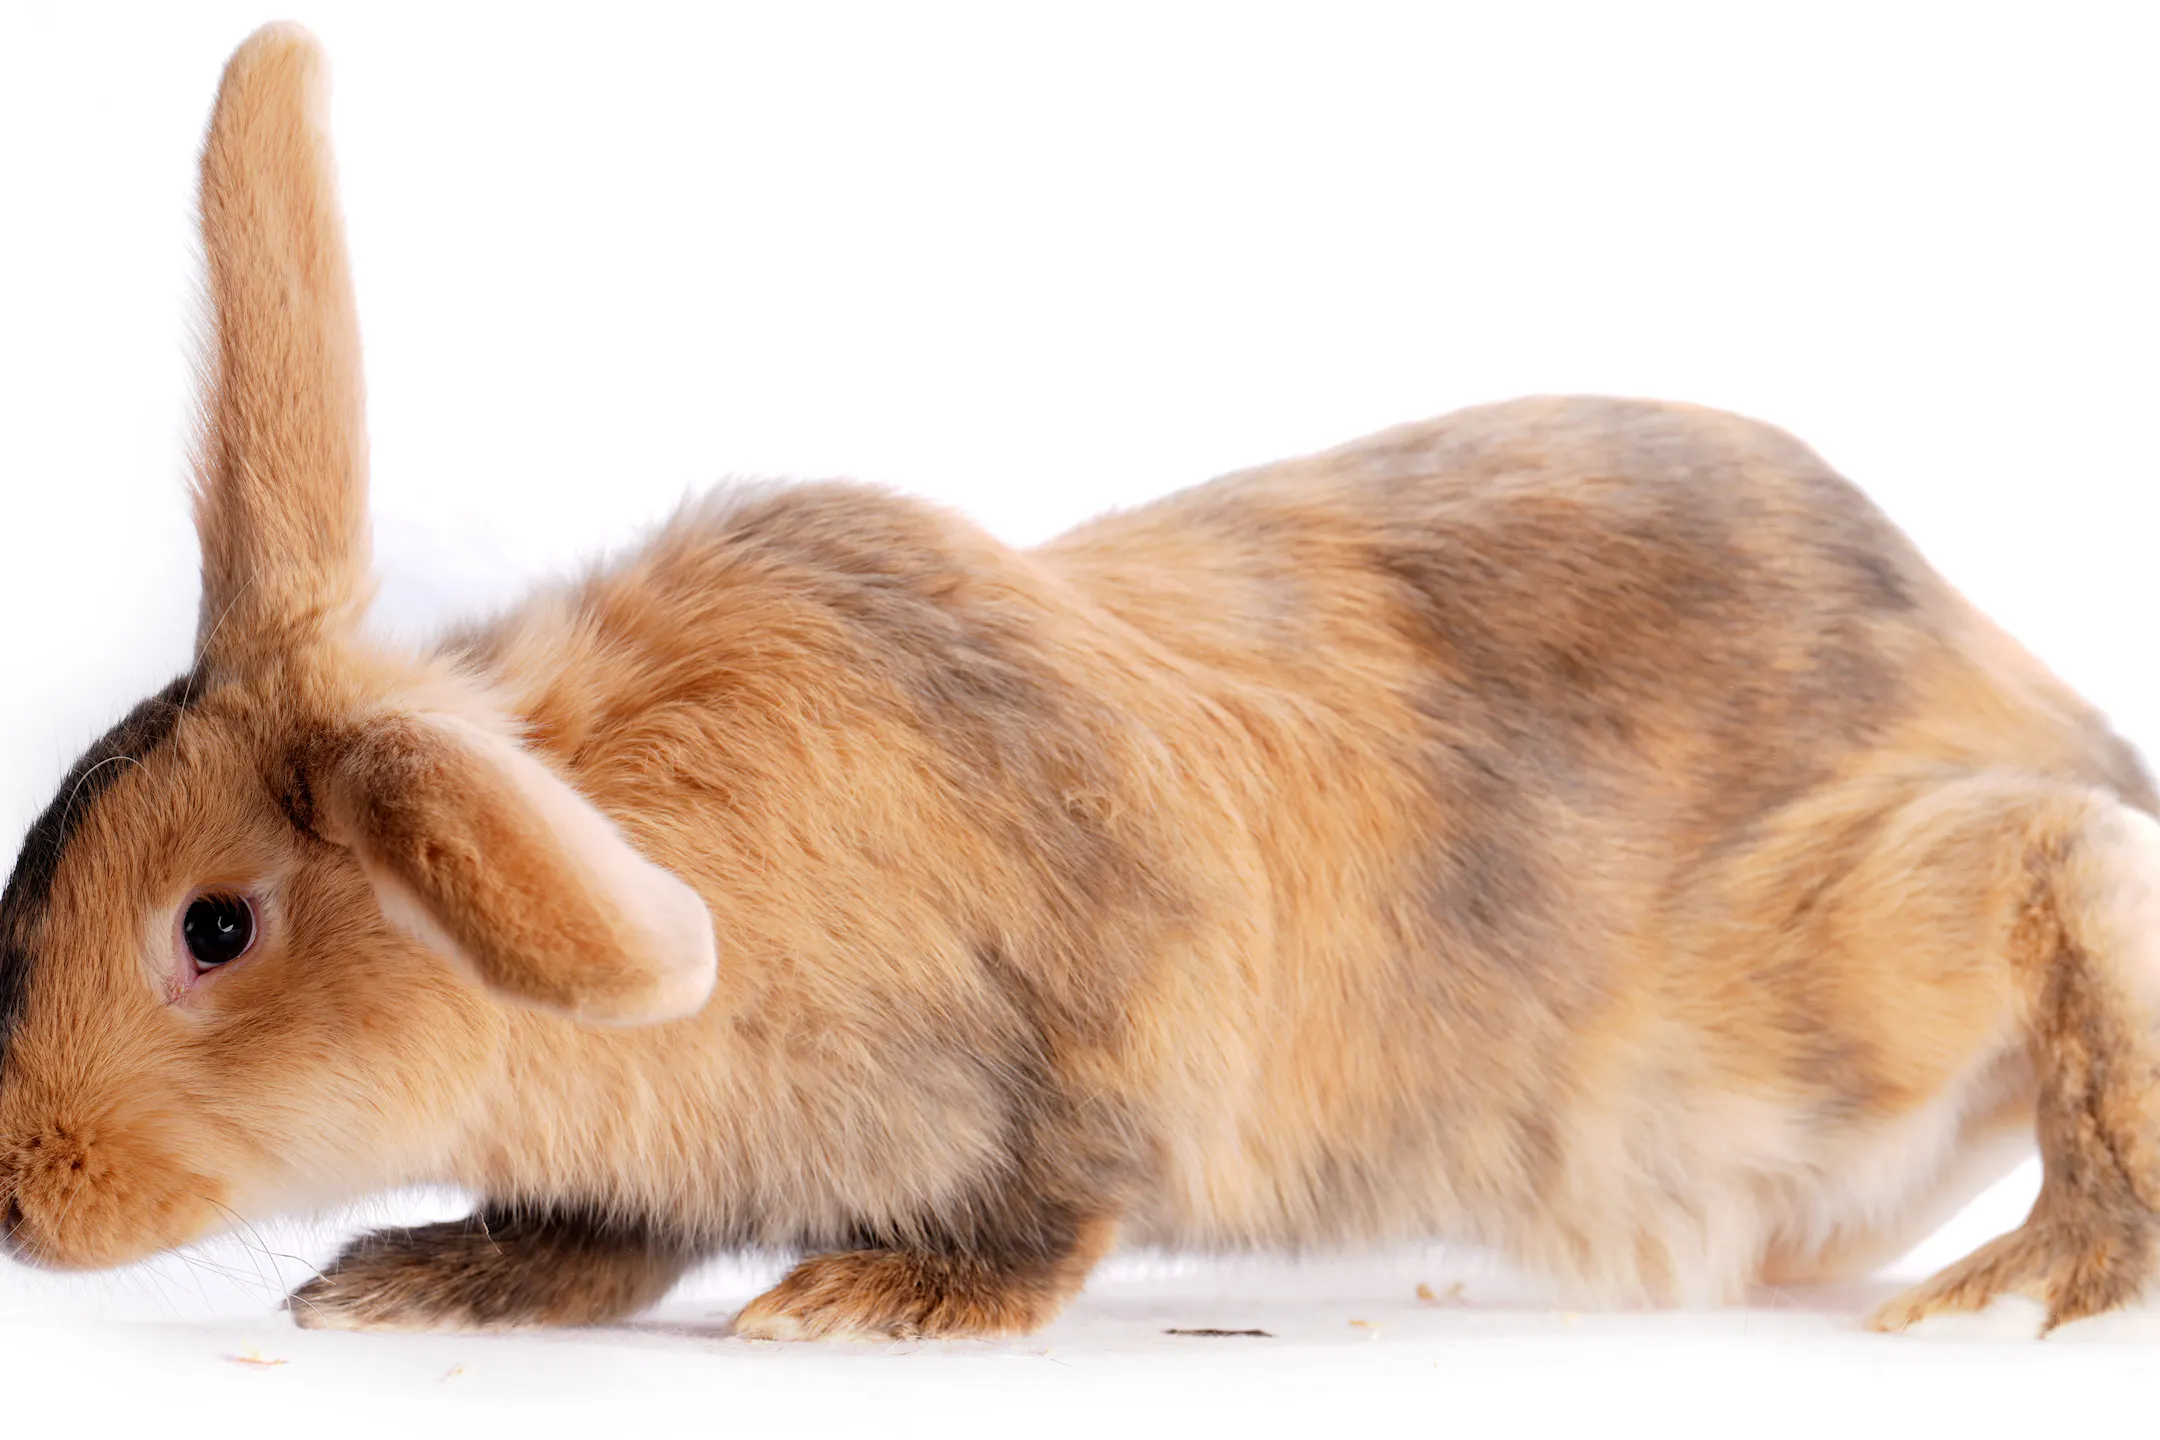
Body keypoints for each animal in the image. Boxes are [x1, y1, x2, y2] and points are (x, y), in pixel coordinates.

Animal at [5, 22, 2160, 1344]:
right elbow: (598, 1239)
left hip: (1813, 981)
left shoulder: (1099, 1022)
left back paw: (2038, 1278)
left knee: (2062, 865)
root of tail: (2023, 690)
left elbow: (1060, 1199)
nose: (21, 1202)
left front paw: (875, 1306)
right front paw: (412, 1280)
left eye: (215, 928)